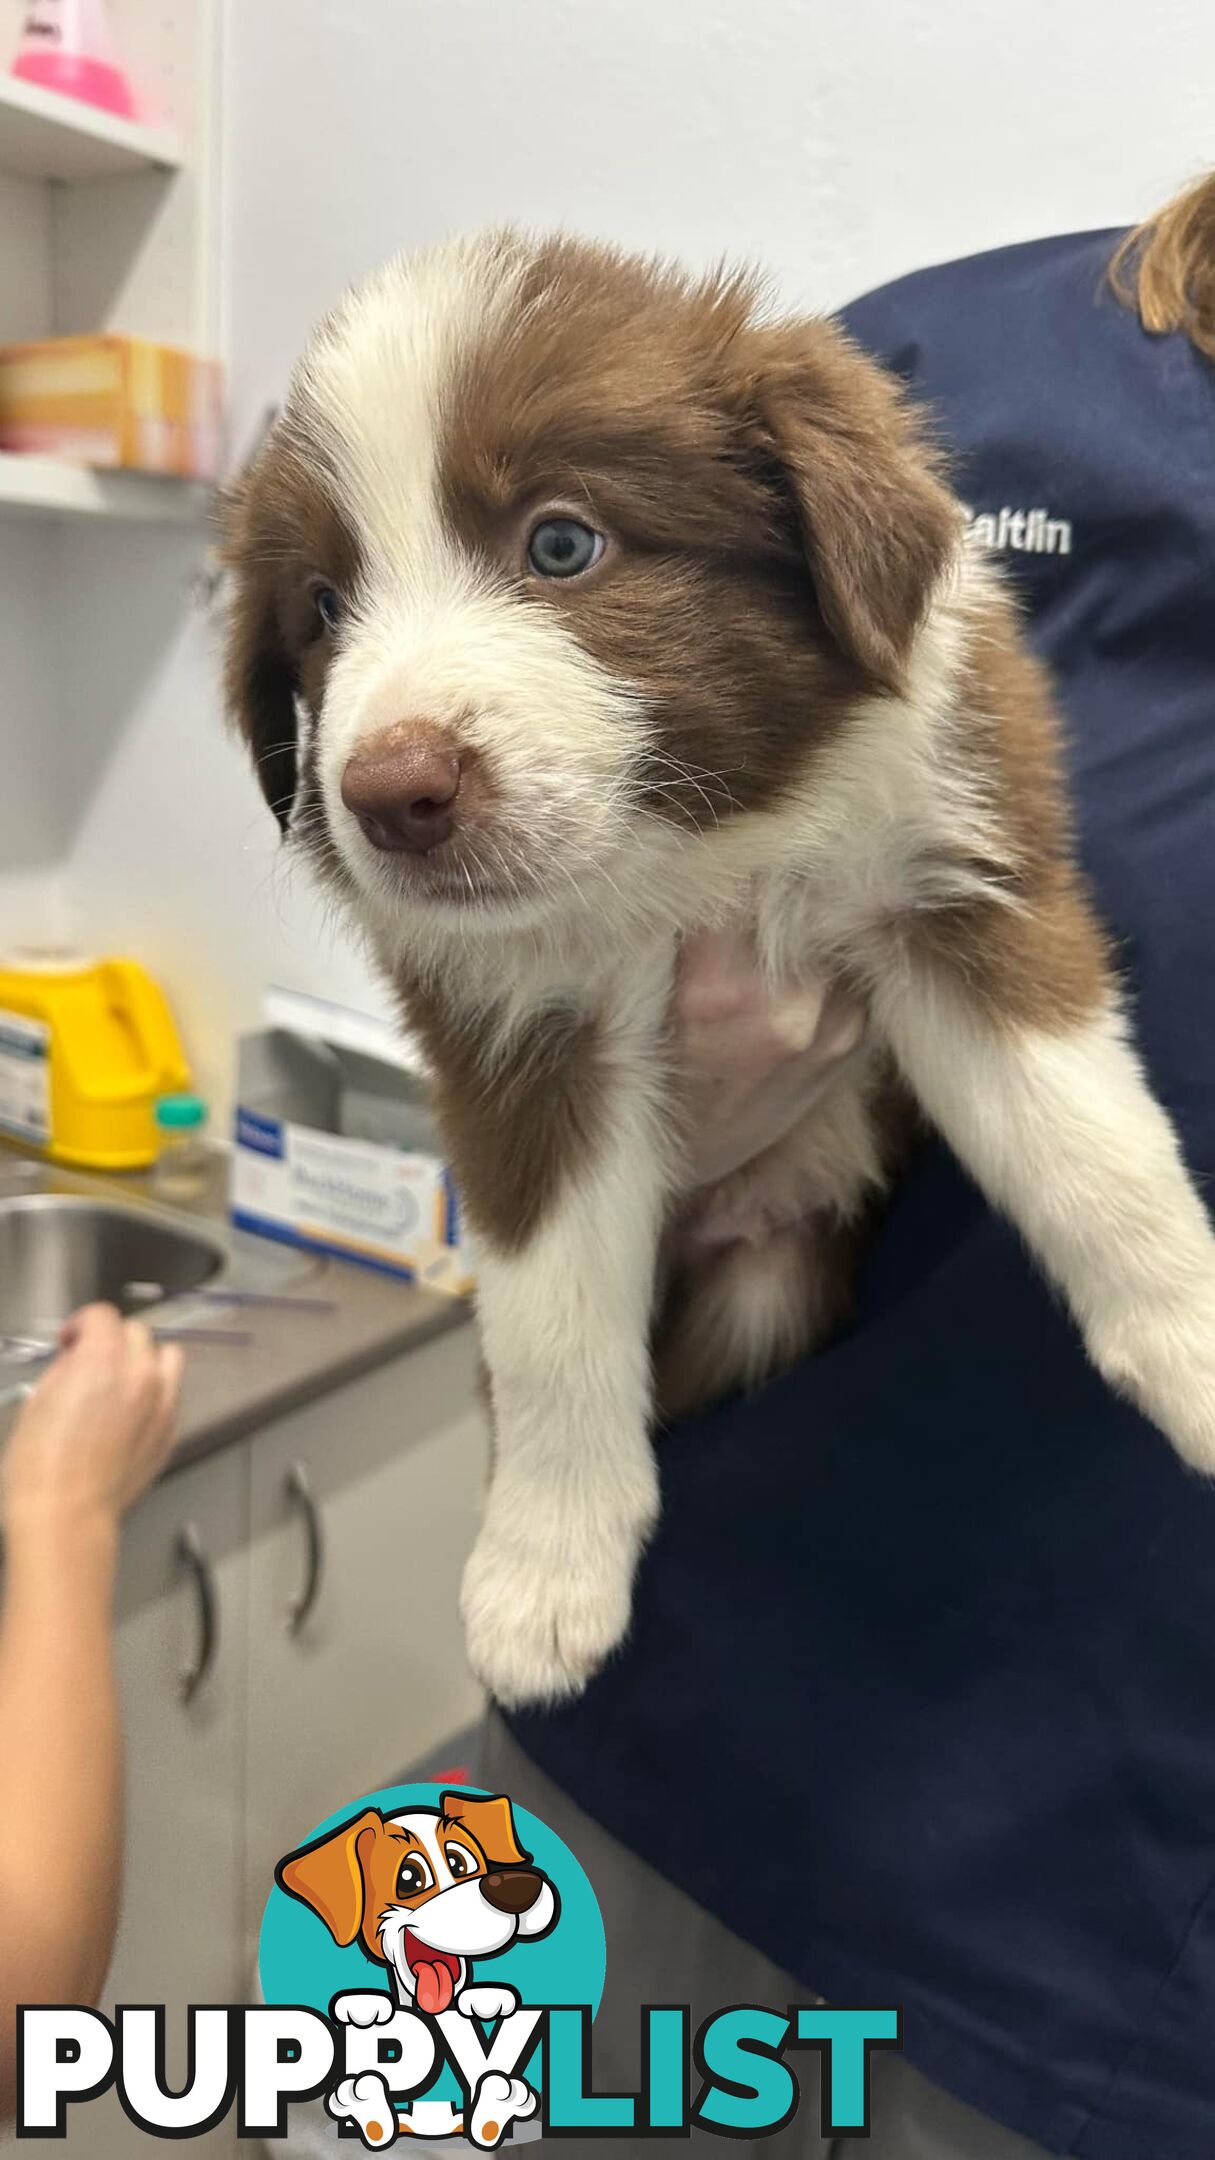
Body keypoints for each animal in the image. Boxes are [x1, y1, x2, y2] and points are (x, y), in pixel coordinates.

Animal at [222, 219, 1210, 1702]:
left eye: (562, 542)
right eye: (327, 606)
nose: (388, 792)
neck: (703, 847)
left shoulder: (961, 885)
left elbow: (1091, 1150)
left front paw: (1197, 1352)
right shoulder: (521, 1043)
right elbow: (549, 1319)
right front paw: (541, 1577)